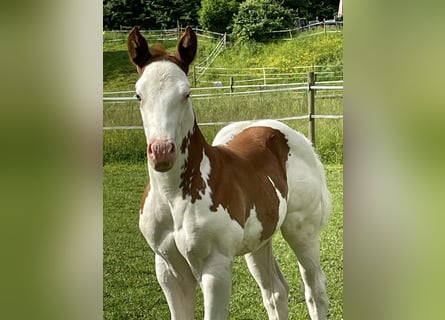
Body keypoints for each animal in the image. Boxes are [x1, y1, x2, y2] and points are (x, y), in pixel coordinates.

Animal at [127, 26, 330, 318]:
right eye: (138, 95)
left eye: (186, 93)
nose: (162, 151)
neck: (173, 196)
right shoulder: (168, 269)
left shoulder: (215, 268)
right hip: (260, 240)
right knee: (275, 292)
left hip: (302, 231)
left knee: (315, 290)